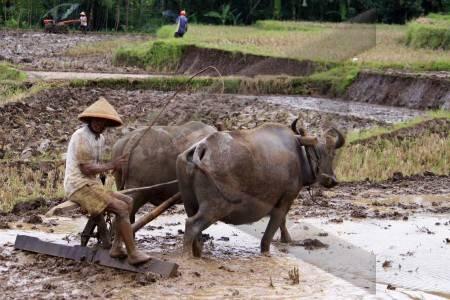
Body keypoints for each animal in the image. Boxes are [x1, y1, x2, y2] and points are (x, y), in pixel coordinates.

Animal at [176, 120, 344, 258]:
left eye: (332, 153)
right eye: (316, 152)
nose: (332, 180)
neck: (298, 155)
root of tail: (202, 147)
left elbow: (282, 222)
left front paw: (287, 239)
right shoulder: (285, 200)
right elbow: (271, 231)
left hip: (190, 203)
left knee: (195, 229)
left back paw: (197, 253)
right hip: (215, 207)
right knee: (192, 226)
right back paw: (187, 257)